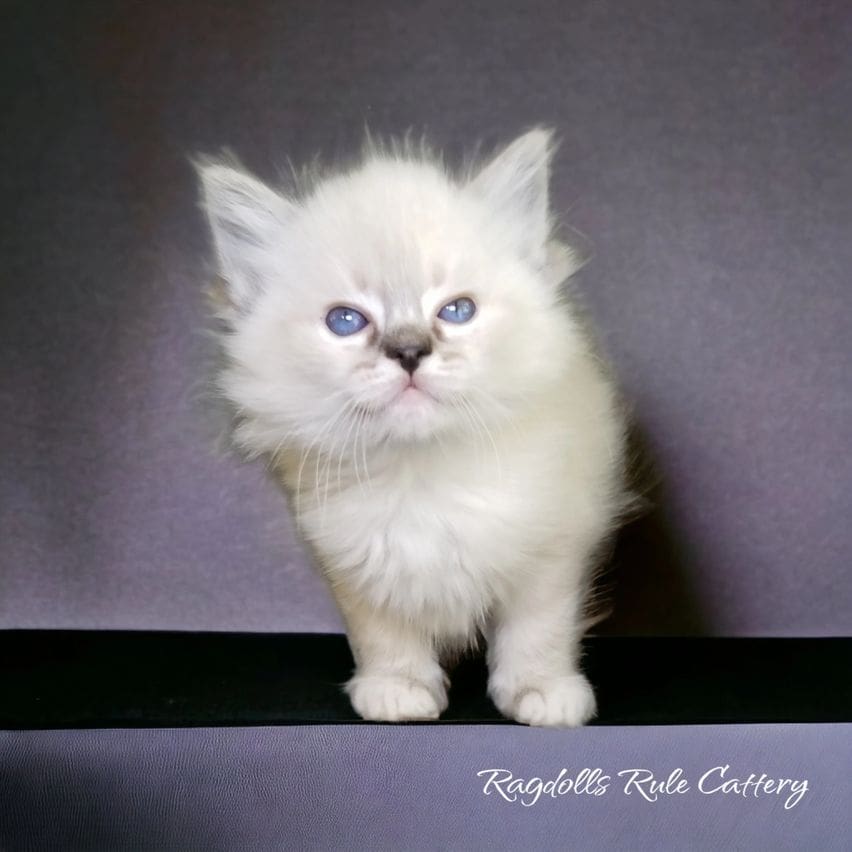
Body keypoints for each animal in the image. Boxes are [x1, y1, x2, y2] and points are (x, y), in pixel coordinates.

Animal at [196, 128, 628, 724]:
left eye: (457, 311)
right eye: (345, 321)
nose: (408, 351)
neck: (422, 473)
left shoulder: (555, 546)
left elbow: (539, 627)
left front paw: (541, 692)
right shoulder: (351, 559)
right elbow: (382, 633)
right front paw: (397, 690)